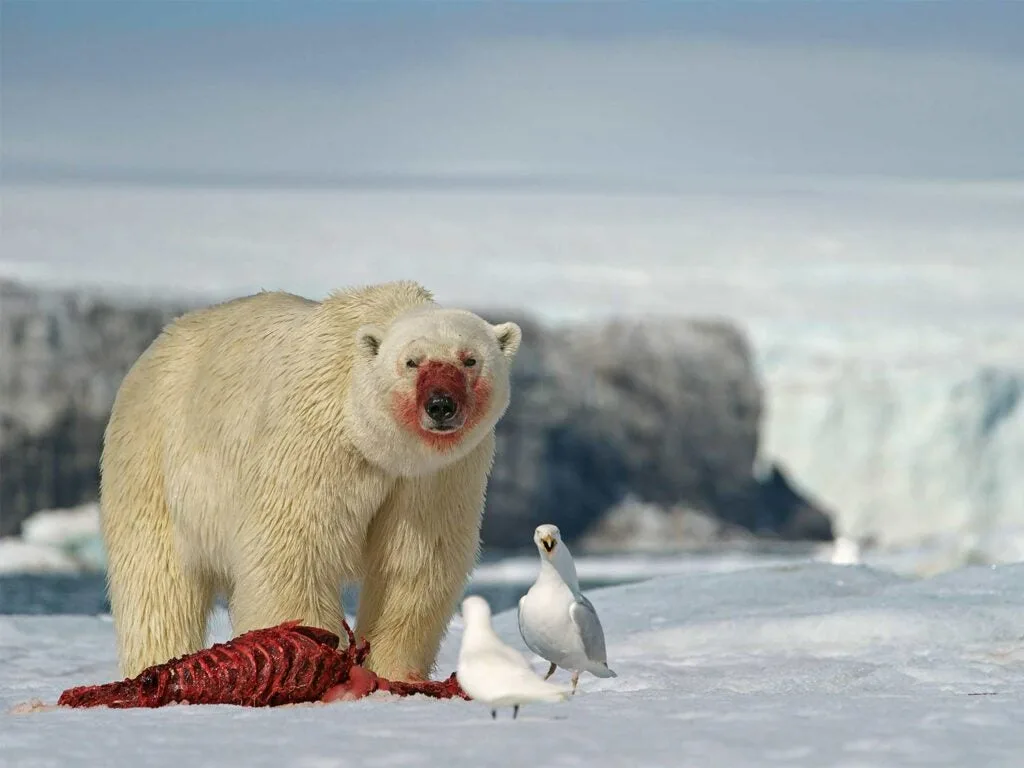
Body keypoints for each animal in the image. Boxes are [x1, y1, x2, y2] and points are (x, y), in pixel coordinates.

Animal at [99, 280, 524, 679]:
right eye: (411, 362)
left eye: (469, 360)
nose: (440, 405)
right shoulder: (314, 439)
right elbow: (295, 549)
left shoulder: (438, 477)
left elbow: (414, 564)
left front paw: (393, 672)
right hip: (153, 459)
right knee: (157, 582)